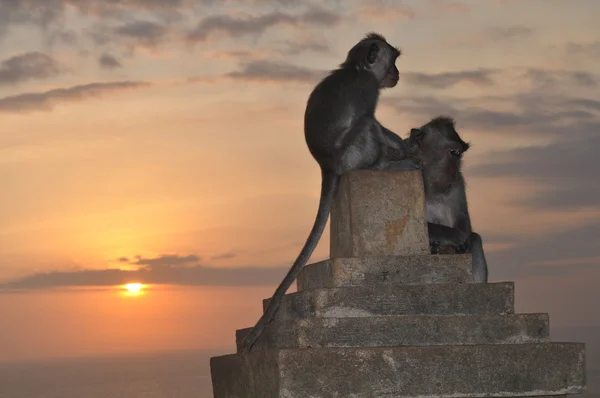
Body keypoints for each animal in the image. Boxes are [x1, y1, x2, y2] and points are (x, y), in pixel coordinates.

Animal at [236, 31, 418, 354]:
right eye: (393, 61)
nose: (397, 73)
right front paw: (402, 146)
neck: (355, 69)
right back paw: (384, 163)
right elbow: (373, 120)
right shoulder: (367, 89)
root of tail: (328, 165)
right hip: (352, 155)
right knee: (367, 124)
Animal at [404, 116, 492, 284]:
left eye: (460, 154)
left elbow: (463, 223)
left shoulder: (457, 184)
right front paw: (448, 240)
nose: (455, 172)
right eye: (453, 153)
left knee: (475, 239)